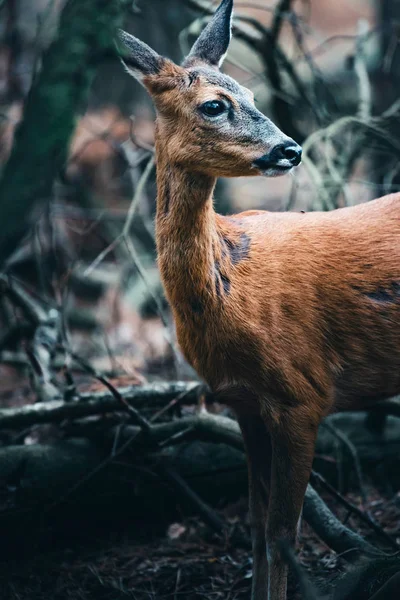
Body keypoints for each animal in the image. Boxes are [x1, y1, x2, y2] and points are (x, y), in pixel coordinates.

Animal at [117, 0, 400, 596]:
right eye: (215, 104)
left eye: (251, 93)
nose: (290, 148)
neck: (232, 291)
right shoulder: (242, 401)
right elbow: (253, 526)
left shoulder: (303, 394)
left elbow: (282, 535)